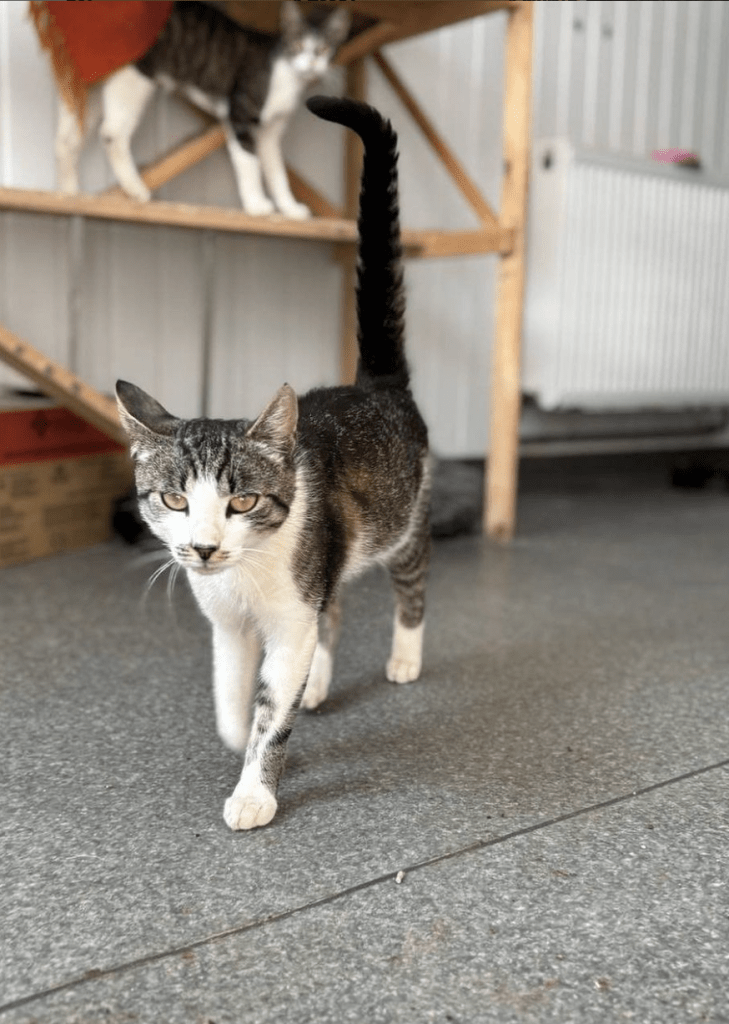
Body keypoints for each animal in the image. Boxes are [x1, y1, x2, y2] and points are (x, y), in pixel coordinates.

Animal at [56, 1, 350, 218]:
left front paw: (290, 210)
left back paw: (70, 193)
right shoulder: (240, 112)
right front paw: (256, 205)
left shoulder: (270, 132)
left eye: (324, 49)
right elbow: (249, 162)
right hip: (135, 76)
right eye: (297, 45)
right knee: (112, 134)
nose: (311, 63)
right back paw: (135, 189)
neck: (287, 75)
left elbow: (277, 172)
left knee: (68, 136)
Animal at [116, 96, 430, 831]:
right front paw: (238, 733)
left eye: (243, 501)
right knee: (332, 610)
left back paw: (404, 656)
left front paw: (255, 788)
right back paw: (318, 683)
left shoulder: (289, 614)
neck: (245, 579)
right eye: (174, 500)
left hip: (401, 520)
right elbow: (233, 689)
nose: (204, 548)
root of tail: (377, 384)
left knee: (410, 584)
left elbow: (272, 705)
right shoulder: (227, 623)